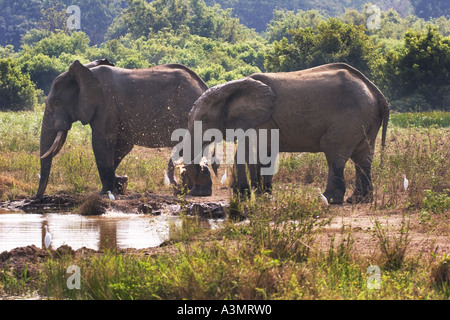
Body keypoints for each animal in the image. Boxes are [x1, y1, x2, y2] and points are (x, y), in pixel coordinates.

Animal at [36, 57, 208, 198]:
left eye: (56, 102)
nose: (38, 198)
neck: (86, 72)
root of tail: (203, 86)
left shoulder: (106, 105)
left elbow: (101, 143)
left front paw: (104, 193)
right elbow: (122, 146)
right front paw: (118, 184)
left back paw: (188, 192)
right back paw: (188, 191)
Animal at [183, 62, 390, 205]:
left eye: (206, 120)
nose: (204, 169)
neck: (231, 89)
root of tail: (376, 92)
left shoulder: (263, 121)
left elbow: (255, 153)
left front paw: (252, 196)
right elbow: (257, 153)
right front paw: (257, 196)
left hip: (349, 119)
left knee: (335, 154)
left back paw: (329, 199)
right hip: (365, 120)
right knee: (363, 157)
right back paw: (358, 200)